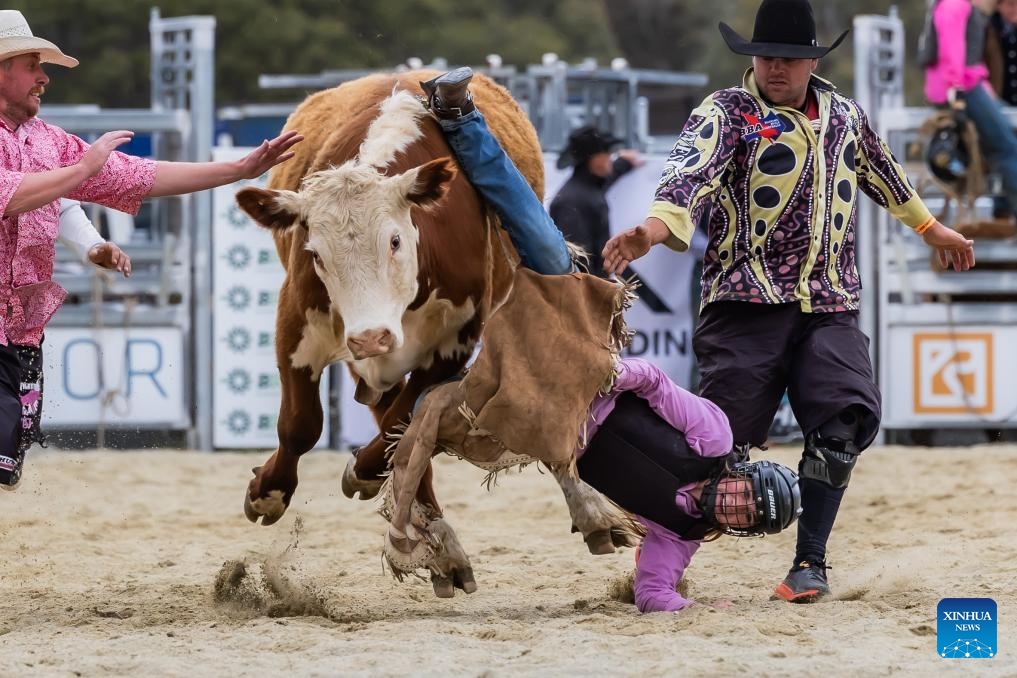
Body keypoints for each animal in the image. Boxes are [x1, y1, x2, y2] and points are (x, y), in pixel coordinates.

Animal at [236, 70, 634, 557]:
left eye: (394, 240)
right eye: (315, 254)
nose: (370, 337)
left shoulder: (455, 340)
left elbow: (401, 423)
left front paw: (361, 472)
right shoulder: (297, 321)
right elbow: (301, 424)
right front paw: (267, 494)